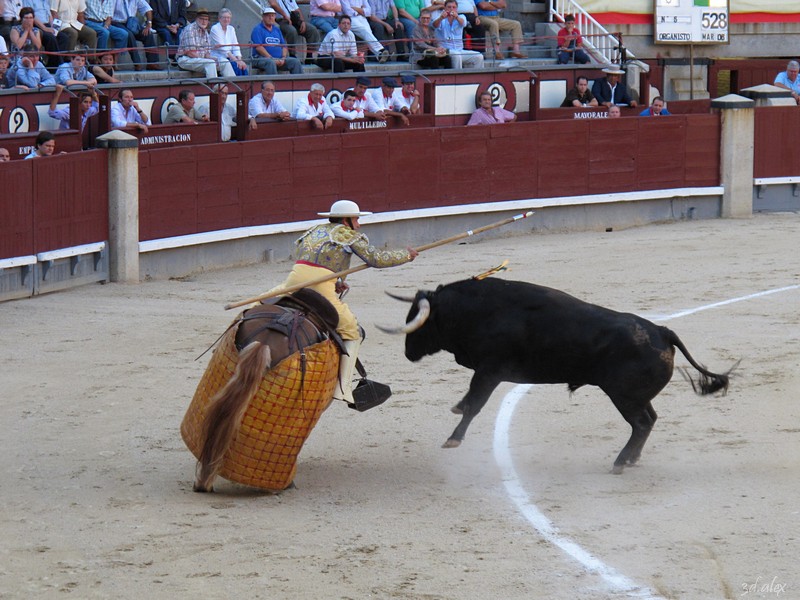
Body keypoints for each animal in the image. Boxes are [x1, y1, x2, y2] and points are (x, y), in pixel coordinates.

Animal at [384, 278, 736, 476]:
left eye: (418, 322)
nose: (407, 352)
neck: (478, 310)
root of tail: (663, 331)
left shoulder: (490, 370)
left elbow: (475, 404)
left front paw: (453, 438)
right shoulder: (488, 372)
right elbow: (471, 401)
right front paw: (457, 410)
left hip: (624, 396)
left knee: (641, 423)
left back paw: (620, 463)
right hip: (635, 396)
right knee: (650, 419)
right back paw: (631, 459)